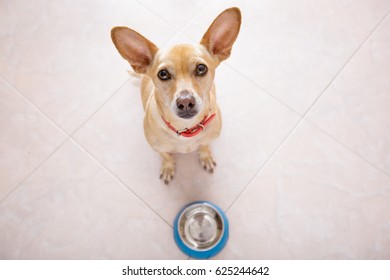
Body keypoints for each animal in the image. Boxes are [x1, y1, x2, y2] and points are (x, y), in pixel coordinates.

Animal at [110, 7, 241, 184]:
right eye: (163, 74)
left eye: (201, 68)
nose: (185, 102)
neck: (185, 130)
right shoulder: (158, 148)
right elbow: (166, 156)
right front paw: (168, 167)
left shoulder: (208, 139)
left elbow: (204, 146)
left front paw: (205, 156)